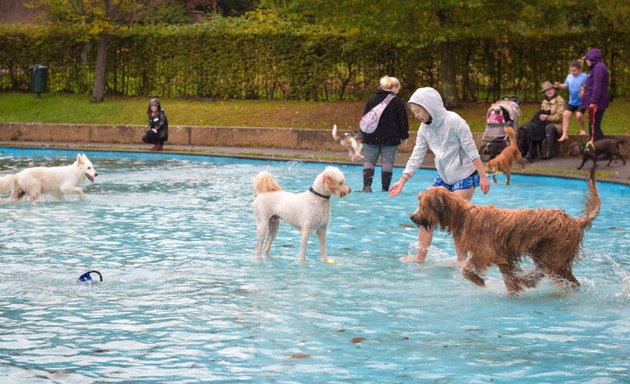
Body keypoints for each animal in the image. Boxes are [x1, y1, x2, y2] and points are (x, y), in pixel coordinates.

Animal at [410, 166, 604, 296]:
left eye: (422, 204)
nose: (412, 217)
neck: (462, 215)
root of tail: (576, 221)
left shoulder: (486, 252)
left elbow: (466, 269)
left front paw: (480, 281)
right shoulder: (502, 256)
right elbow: (508, 276)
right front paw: (514, 289)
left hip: (555, 255)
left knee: (568, 279)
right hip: (545, 254)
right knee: (544, 271)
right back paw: (527, 280)